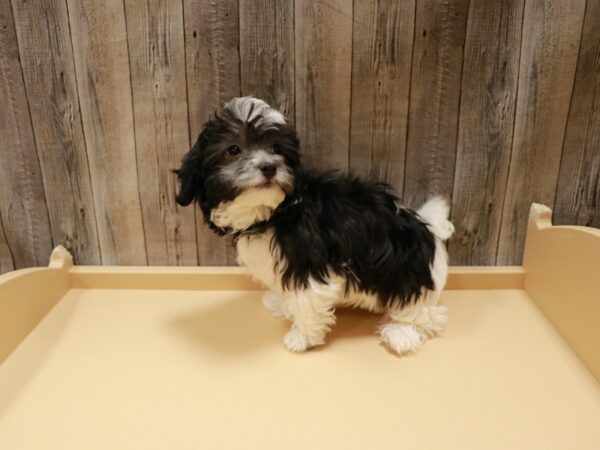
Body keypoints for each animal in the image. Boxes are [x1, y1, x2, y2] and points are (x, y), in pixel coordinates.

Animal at [175, 96, 454, 354]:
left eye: (276, 148)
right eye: (233, 149)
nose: (269, 167)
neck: (274, 213)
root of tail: (430, 232)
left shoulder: (309, 261)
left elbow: (307, 298)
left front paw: (302, 337)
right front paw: (282, 304)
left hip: (403, 272)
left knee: (424, 312)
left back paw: (402, 332)